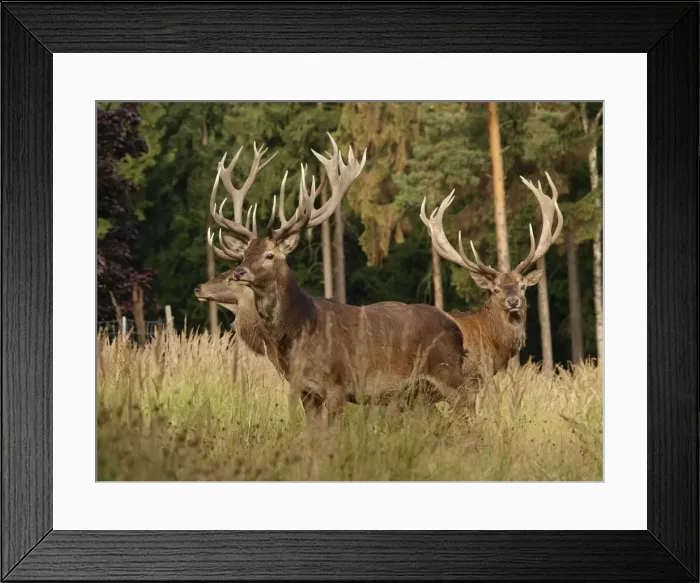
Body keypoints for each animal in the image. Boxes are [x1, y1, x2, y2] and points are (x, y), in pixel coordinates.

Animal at [208, 133, 471, 427]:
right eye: (243, 254)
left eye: (269, 255)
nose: (239, 272)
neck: (299, 331)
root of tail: (457, 330)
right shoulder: (306, 390)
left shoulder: (338, 385)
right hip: (420, 393)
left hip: (448, 373)